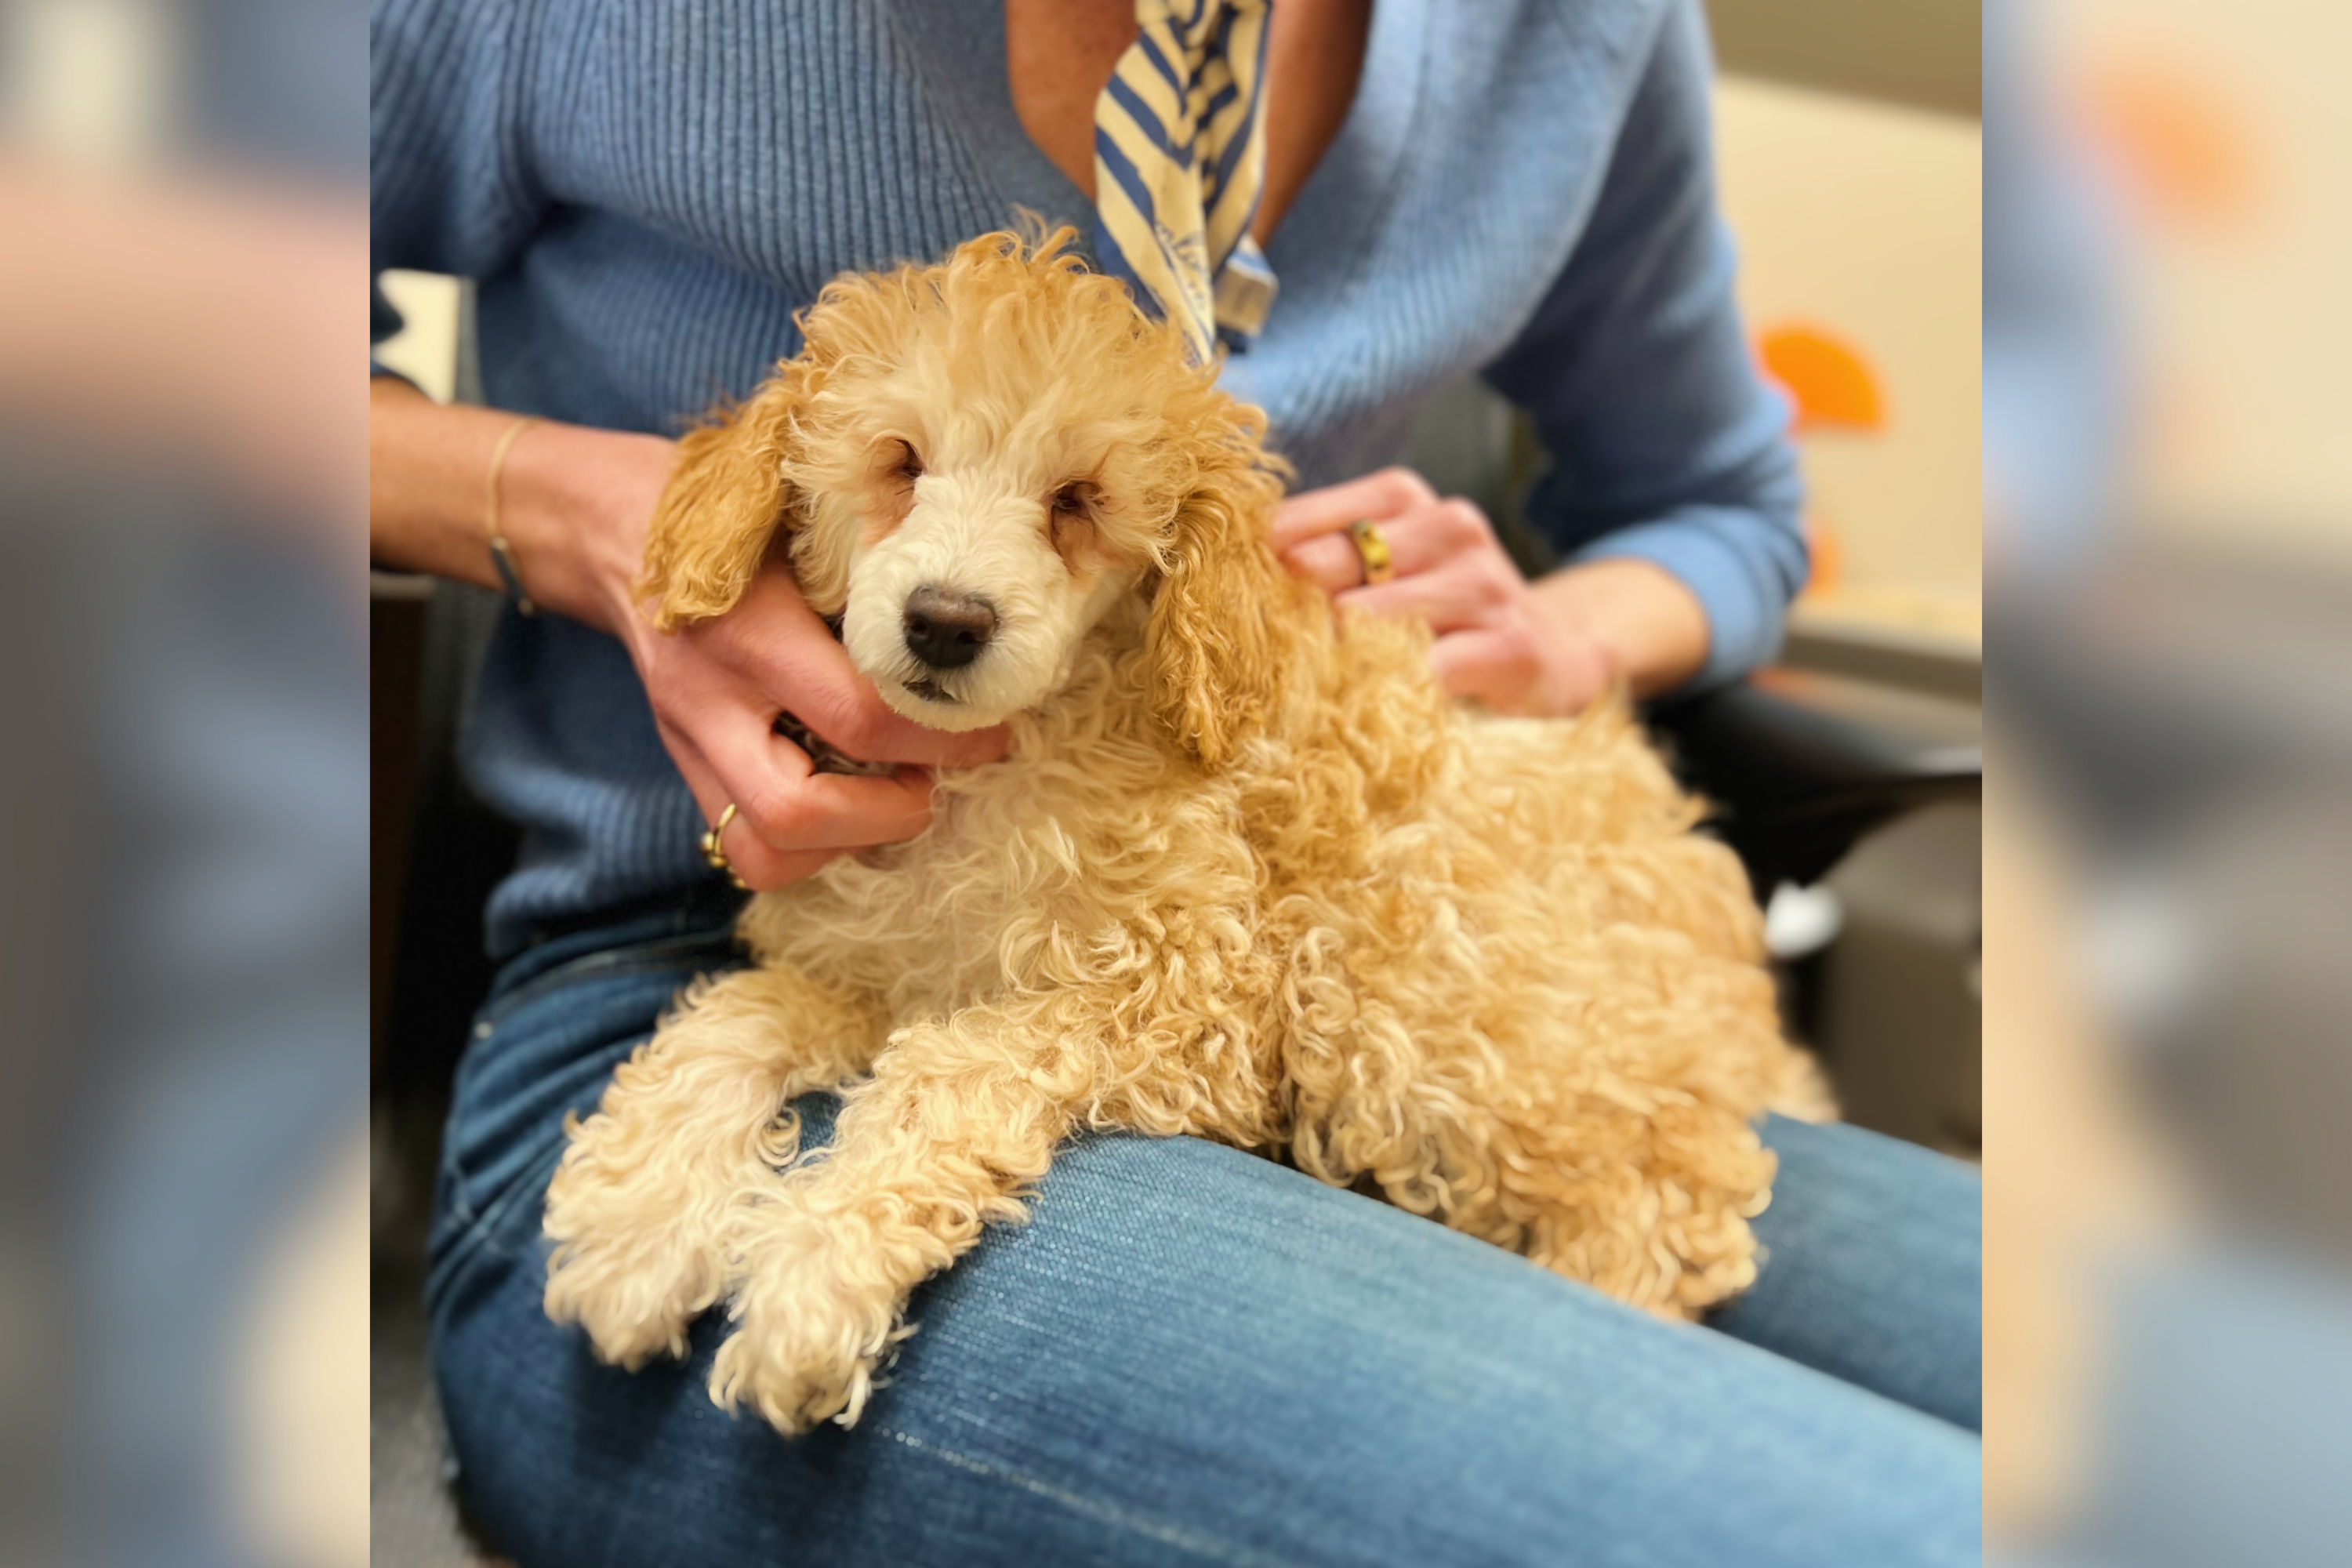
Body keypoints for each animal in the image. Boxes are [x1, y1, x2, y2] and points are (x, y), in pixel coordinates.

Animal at [546, 227, 1797, 1439]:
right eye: (900, 461)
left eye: (1078, 500)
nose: (946, 621)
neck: (990, 768)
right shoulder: (869, 962)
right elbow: (739, 1013)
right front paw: (637, 1227)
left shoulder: (1192, 998)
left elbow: (955, 1063)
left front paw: (815, 1276)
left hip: (1405, 975)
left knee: (1671, 1198)